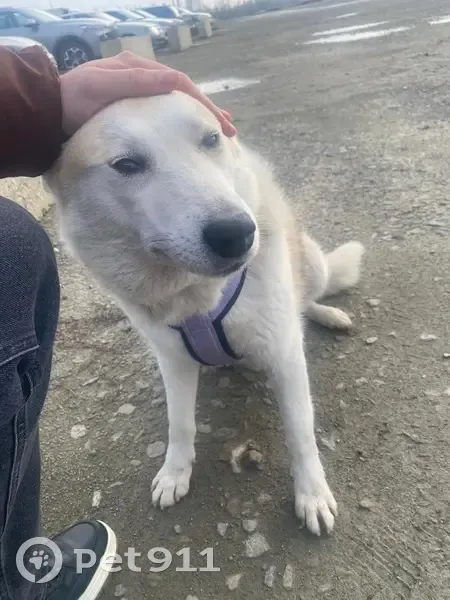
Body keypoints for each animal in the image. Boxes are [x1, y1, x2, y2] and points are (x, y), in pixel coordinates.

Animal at [44, 92, 364, 536]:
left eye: (211, 140)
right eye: (126, 164)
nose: (237, 233)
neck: (195, 297)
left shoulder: (283, 353)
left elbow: (301, 431)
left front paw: (312, 494)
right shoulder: (174, 360)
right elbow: (180, 424)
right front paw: (176, 472)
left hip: (312, 264)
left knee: (309, 295)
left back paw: (326, 313)